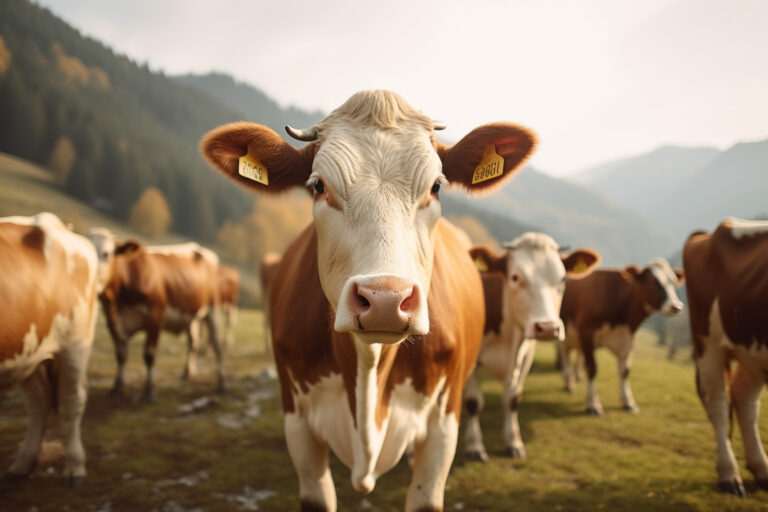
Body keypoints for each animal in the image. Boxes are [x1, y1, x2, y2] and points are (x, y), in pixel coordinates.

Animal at [1, 213, 100, 484]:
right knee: (39, 401)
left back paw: (75, 467)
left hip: (74, 344)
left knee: (74, 399)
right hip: (28, 352)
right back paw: (22, 464)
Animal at [90, 234, 226, 401]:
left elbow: (149, 355)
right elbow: (121, 355)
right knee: (193, 342)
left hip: (213, 309)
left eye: (105, 254)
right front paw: (117, 387)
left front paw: (149, 391)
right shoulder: (113, 322)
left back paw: (222, 384)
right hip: (192, 316)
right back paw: (188, 373)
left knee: (217, 345)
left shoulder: (155, 317)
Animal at [463, 236, 600, 461]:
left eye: (563, 279)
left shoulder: (526, 356)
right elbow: (473, 402)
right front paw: (475, 446)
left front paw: (514, 442)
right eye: (515, 277)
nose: (548, 328)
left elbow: (512, 399)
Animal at [559, 258, 684, 415]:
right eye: (653, 282)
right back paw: (568, 383)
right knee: (565, 354)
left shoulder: (627, 339)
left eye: (673, 282)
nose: (676, 306)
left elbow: (625, 371)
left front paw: (628, 402)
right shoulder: (586, 333)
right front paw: (593, 404)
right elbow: (592, 369)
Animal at [684, 218, 768, 496]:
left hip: (751, 352)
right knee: (719, 403)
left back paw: (762, 470)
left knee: (744, 398)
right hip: (708, 345)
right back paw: (729, 475)